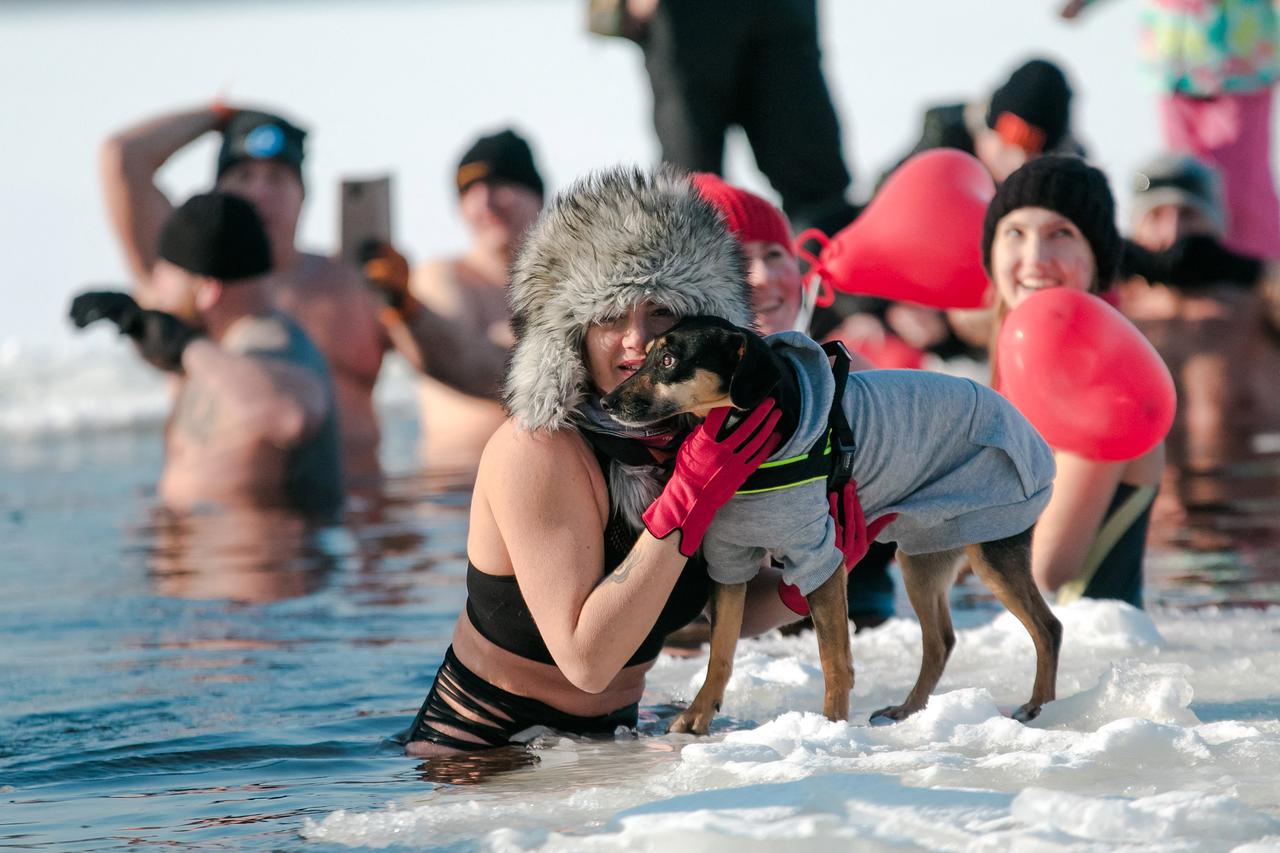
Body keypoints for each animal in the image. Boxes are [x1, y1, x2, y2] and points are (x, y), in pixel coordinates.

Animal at [604, 313, 1064, 732]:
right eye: (644, 356)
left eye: (668, 359)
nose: (608, 403)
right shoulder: (730, 559)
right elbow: (719, 653)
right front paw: (698, 715)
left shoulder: (820, 557)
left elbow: (834, 658)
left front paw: (830, 727)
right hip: (923, 554)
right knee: (940, 642)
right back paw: (908, 711)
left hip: (993, 547)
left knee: (1048, 628)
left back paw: (1037, 708)